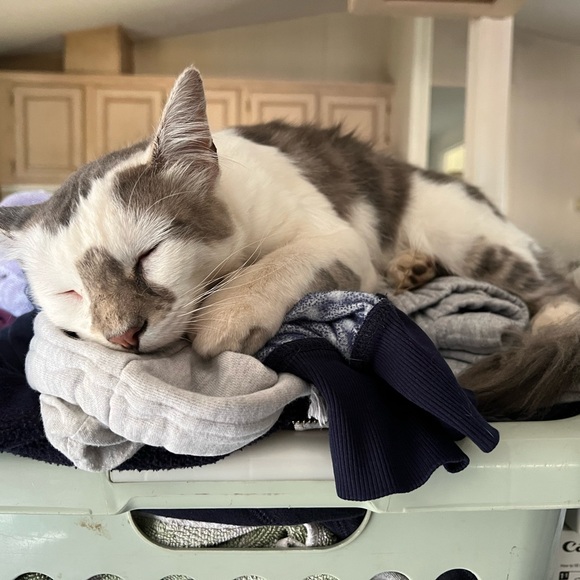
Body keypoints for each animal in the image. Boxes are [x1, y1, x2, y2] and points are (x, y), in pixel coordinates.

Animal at [1, 66, 579, 418]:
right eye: (71, 293)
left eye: (148, 257)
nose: (123, 336)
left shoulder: (338, 237)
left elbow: (282, 262)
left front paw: (230, 314)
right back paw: (411, 270)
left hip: (468, 236)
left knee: (559, 291)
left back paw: (546, 325)